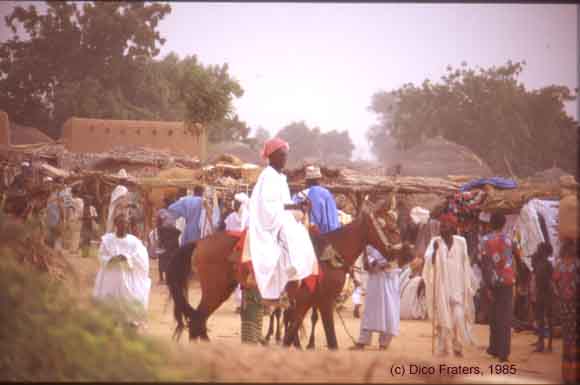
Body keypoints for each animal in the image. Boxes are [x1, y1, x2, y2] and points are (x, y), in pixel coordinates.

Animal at [165, 201, 414, 348]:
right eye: (392, 229)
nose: (408, 255)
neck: (329, 254)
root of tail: (199, 242)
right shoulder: (321, 301)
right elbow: (329, 339)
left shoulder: (307, 302)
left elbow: (292, 334)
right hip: (215, 290)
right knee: (197, 319)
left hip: (222, 290)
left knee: (198, 321)